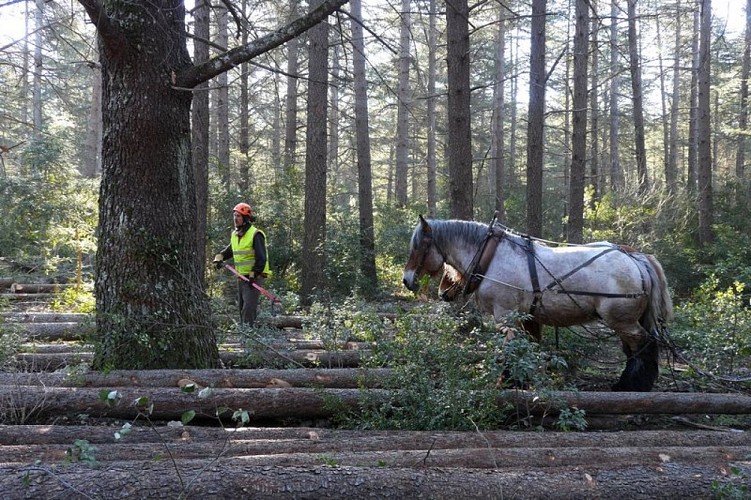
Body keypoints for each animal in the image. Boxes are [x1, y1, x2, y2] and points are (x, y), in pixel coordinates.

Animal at [402, 215, 673, 392]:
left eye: (419, 247)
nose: (407, 280)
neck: (492, 257)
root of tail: (636, 257)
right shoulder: (529, 318)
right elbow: (527, 348)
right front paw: (523, 379)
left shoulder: (506, 315)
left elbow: (512, 350)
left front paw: (508, 381)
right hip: (626, 321)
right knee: (634, 349)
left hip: (621, 320)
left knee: (644, 345)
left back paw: (633, 385)